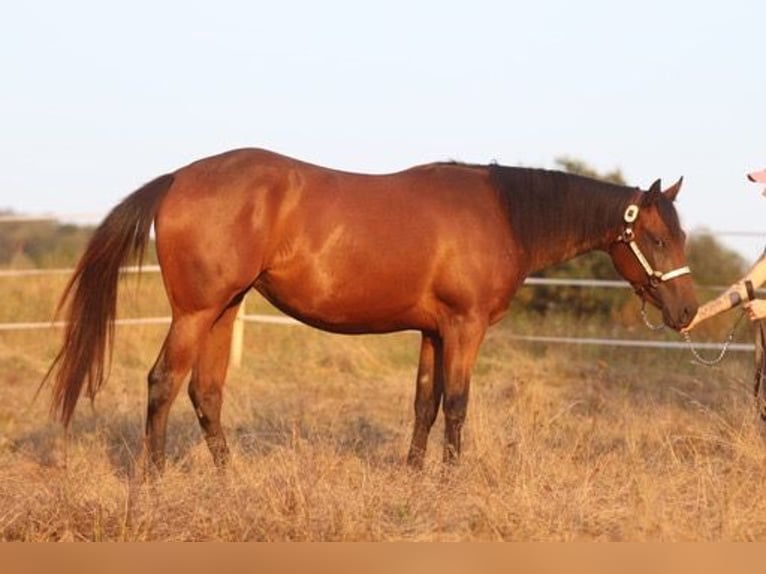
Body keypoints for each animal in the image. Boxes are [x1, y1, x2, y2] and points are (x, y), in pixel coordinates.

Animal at [44, 148, 697, 471]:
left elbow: (425, 404)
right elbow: (457, 407)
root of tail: (180, 177)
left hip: (225, 308)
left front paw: (413, 477)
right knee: (162, 383)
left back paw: (229, 479)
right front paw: (450, 482)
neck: (503, 214)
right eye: (657, 238)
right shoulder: (464, 329)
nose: (688, 311)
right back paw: (154, 481)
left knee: (205, 392)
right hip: (196, 312)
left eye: (681, 236)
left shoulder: (434, 332)